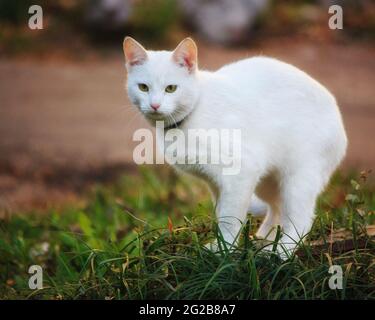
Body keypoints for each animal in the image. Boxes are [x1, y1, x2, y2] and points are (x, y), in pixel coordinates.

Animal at [124, 37, 350, 258]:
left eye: (171, 88)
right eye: (143, 87)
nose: (154, 105)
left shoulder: (241, 172)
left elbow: (230, 219)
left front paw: (224, 250)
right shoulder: (216, 184)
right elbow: (221, 214)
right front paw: (222, 246)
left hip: (297, 179)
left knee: (300, 220)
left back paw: (281, 251)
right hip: (267, 181)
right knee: (276, 209)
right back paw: (262, 241)